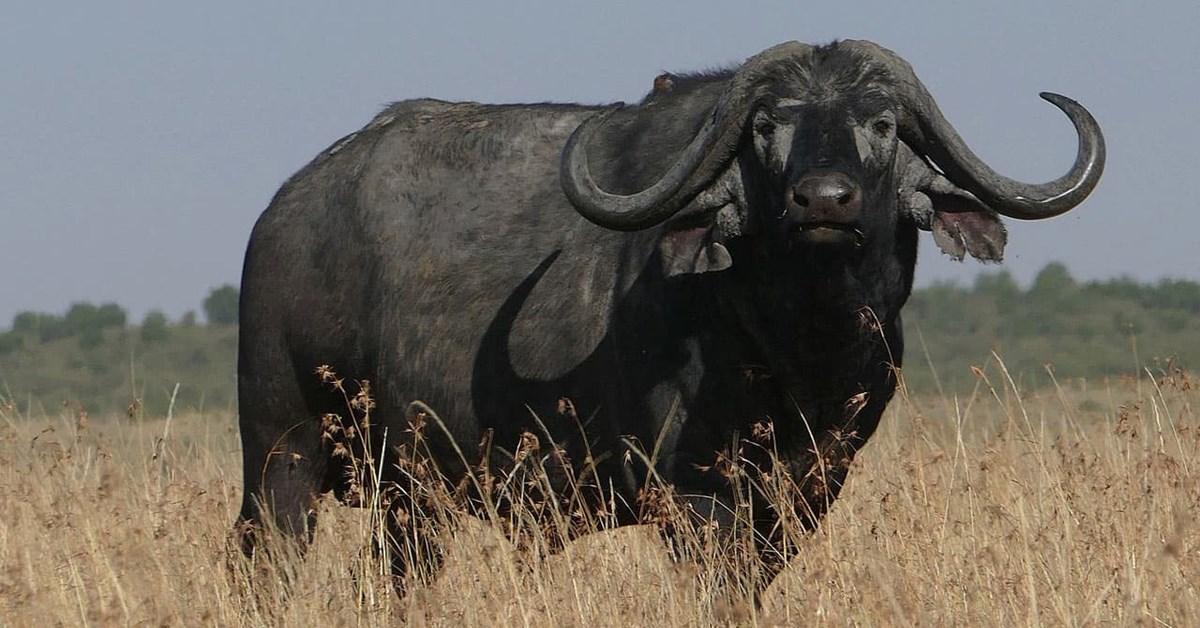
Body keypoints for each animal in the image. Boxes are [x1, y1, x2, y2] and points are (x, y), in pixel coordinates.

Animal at [235, 40, 1104, 597]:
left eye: (883, 125)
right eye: (766, 128)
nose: (823, 201)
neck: (796, 351)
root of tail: (285, 210)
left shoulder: (808, 492)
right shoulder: (694, 495)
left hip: (405, 491)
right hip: (286, 453)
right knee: (267, 559)